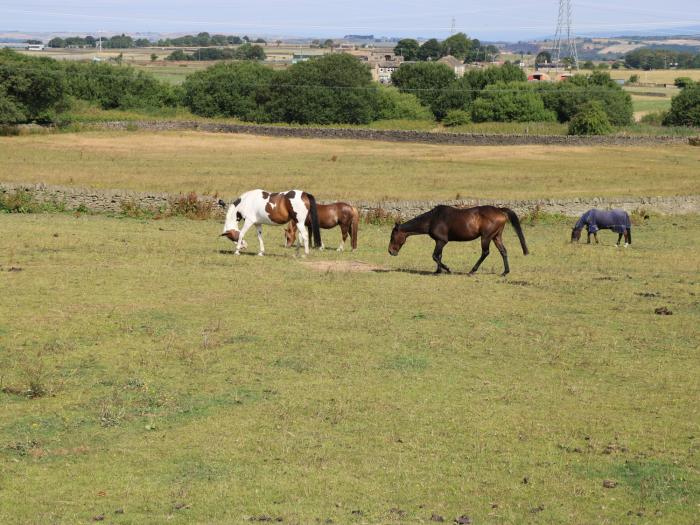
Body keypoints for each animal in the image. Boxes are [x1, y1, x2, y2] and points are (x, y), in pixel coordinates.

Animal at [386, 205, 528, 276]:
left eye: (392, 237)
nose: (390, 251)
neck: (432, 219)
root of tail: (500, 210)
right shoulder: (439, 242)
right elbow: (439, 256)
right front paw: (438, 271)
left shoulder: (441, 241)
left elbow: (435, 256)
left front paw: (448, 269)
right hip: (496, 236)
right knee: (503, 251)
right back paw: (505, 272)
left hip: (486, 237)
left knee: (485, 252)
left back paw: (472, 271)